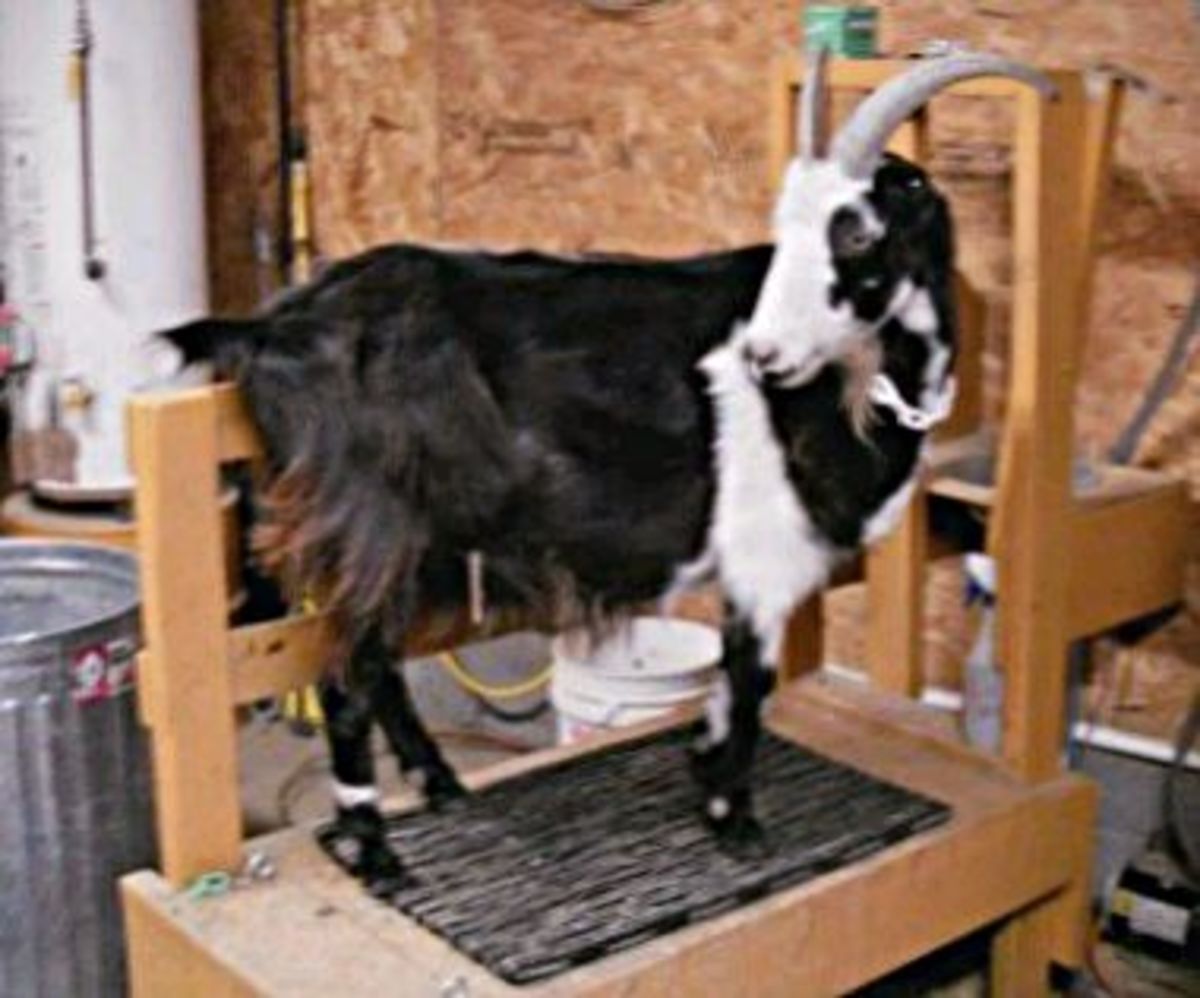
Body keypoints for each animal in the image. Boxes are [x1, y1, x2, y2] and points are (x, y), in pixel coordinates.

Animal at [165, 53, 1053, 893]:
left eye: (859, 233)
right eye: (789, 227)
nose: (763, 357)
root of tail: (272, 329)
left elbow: (731, 684)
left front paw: (705, 768)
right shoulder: (764, 557)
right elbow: (752, 679)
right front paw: (735, 821)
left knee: (377, 664)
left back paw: (441, 783)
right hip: (372, 519)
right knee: (347, 674)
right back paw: (379, 852)